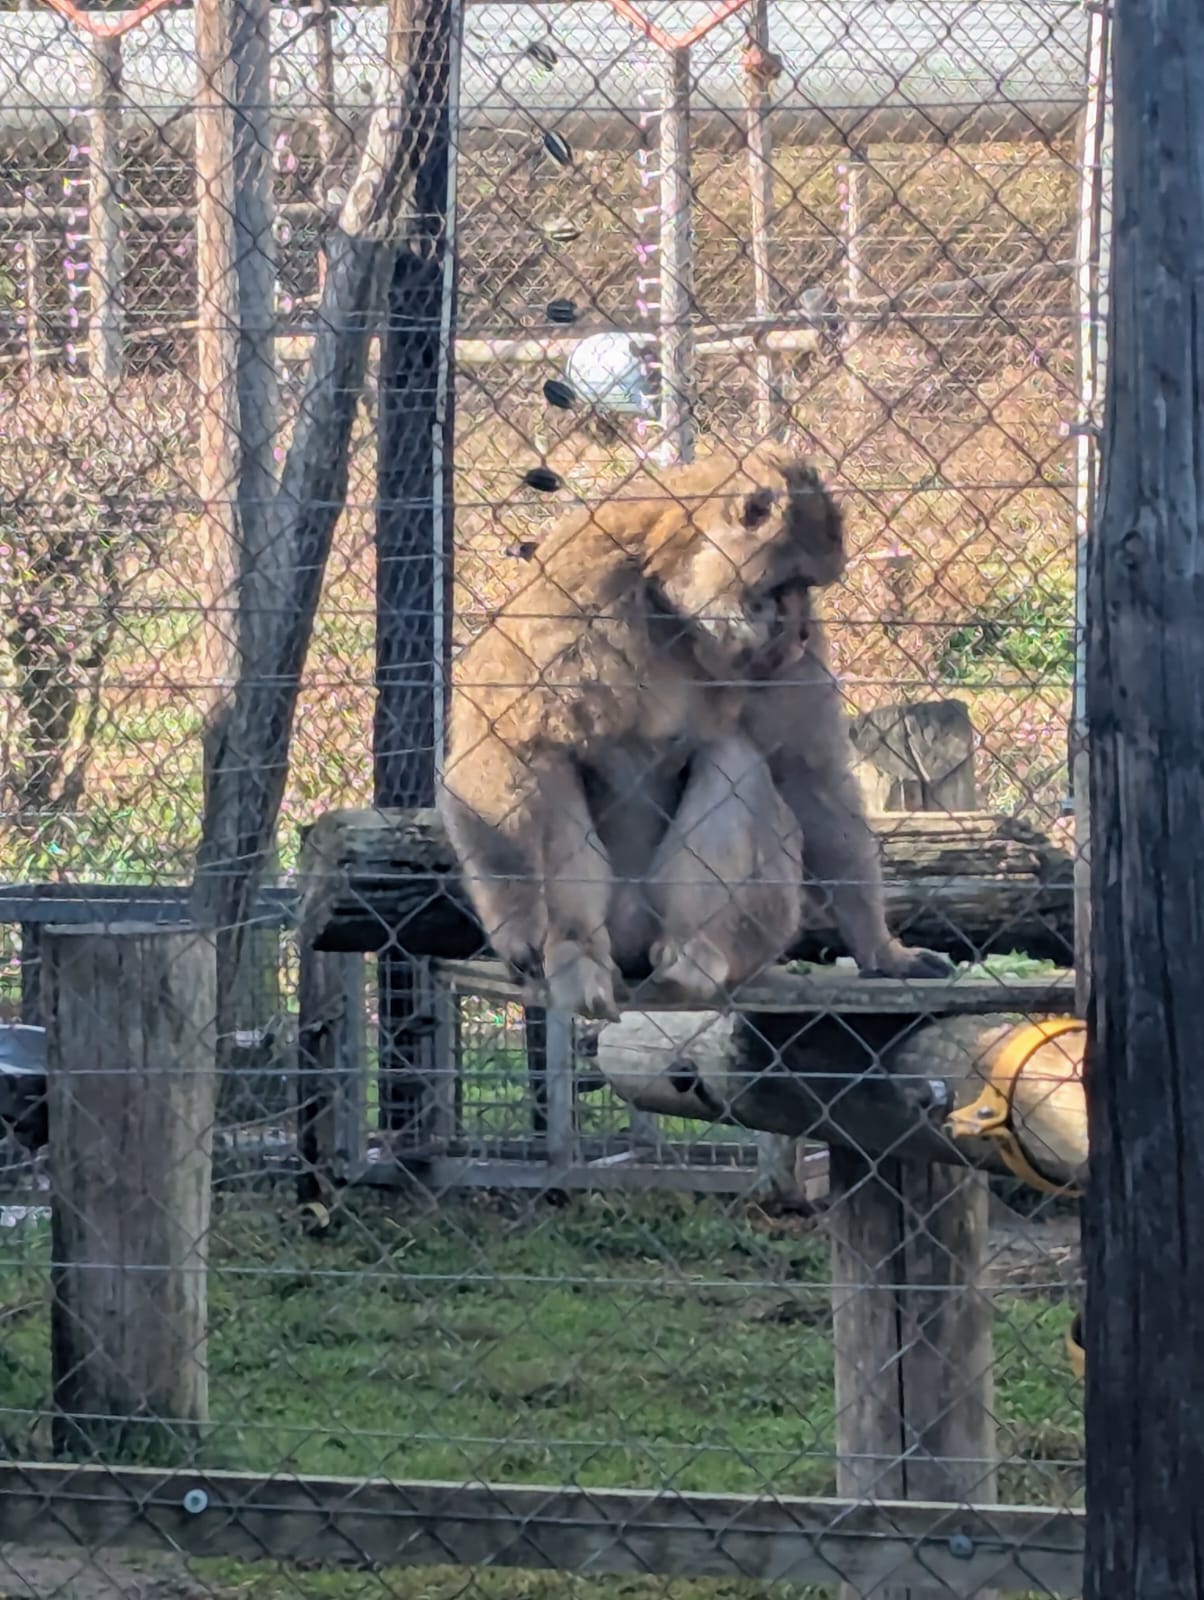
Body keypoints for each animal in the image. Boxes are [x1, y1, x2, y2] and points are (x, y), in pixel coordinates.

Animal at [438, 445, 952, 1020]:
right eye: (791, 586)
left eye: (808, 591)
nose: (800, 628)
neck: (673, 608)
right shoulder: (575, 589)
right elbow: (505, 739)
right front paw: (519, 927)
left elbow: (810, 778)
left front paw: (882, 949)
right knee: (553, 765)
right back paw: (578, 954)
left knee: (737, 759)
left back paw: (692, 958)